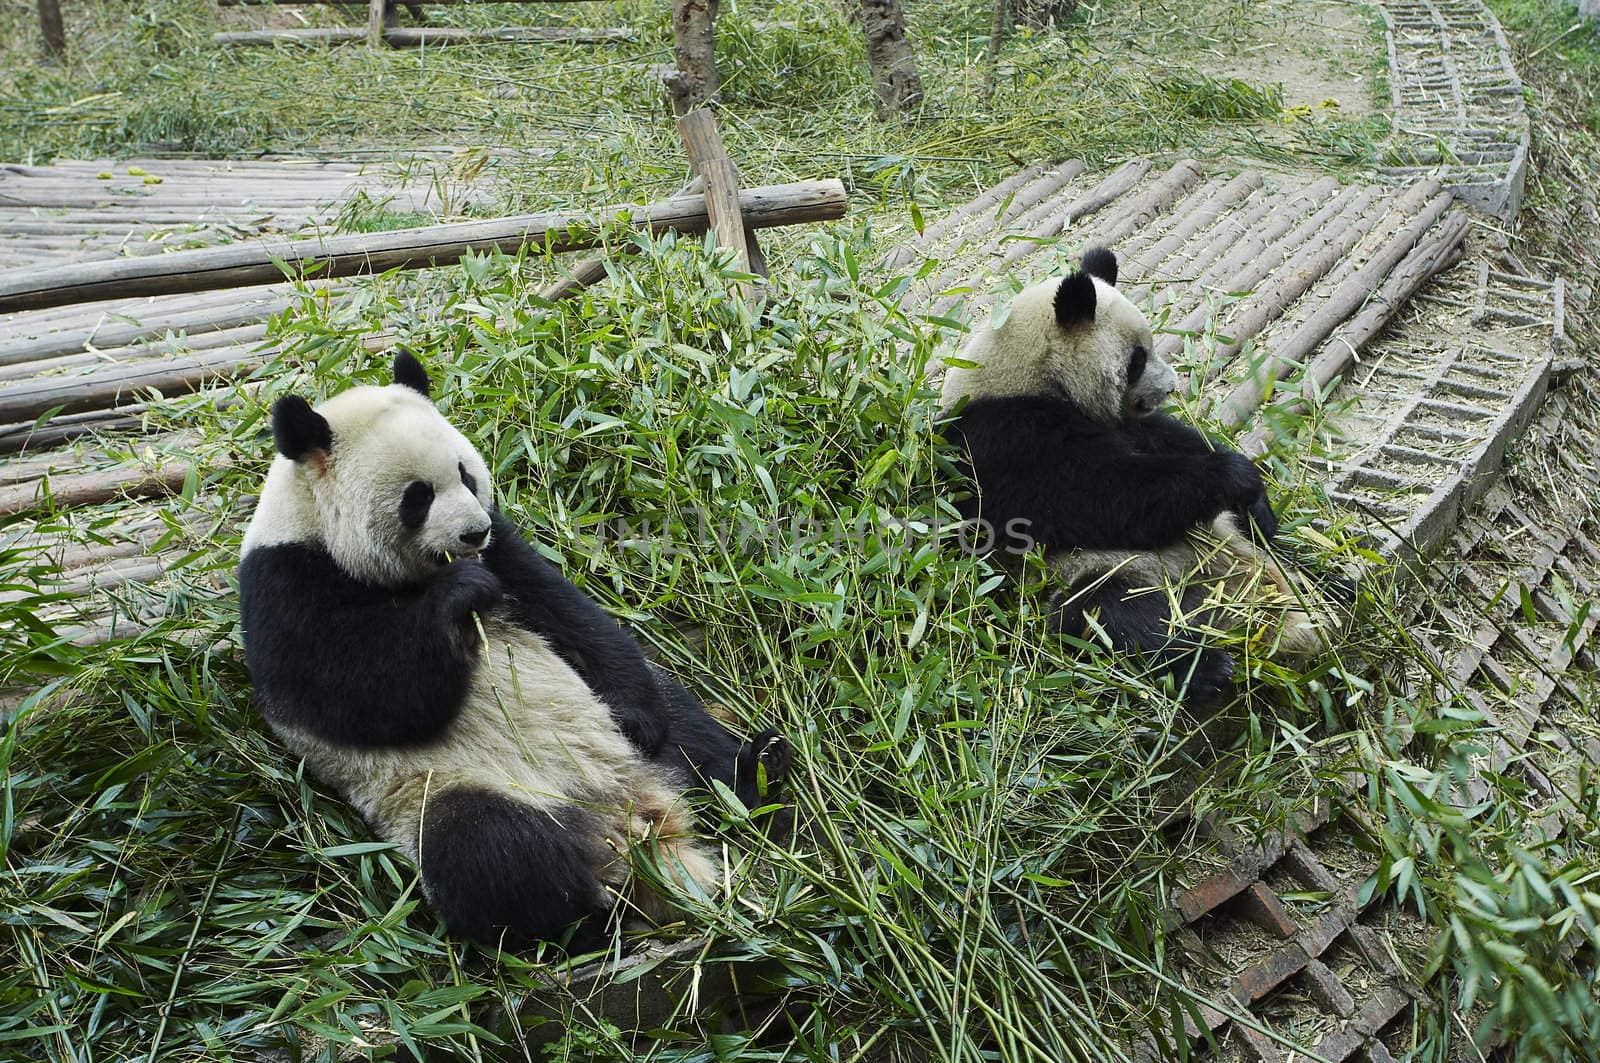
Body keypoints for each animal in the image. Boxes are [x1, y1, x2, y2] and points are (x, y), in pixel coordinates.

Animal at [236, 352, 787, 947]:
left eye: (464, 474)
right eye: (417, 497)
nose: (471, 533)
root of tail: (635, 819)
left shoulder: (507, 549)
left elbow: (569, 611)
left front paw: (639, 714)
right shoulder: (284, 589)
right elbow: (370, 694)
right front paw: (460, 596)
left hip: (623, 733)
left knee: (689, 735)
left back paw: (761, 769)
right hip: (445, 789)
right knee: (489, 853)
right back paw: (590, 907)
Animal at [934, 246, 1337, 704]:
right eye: (1138, 359)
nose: (1171, 386)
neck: (1028, 372)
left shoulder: (1129, 425)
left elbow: (1174, 438)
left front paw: (1255, 500)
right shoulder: (1006, 439)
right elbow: (1099, 496)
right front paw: (1234, 478)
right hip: (1115, 573)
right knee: (1110, 615)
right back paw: (1208, 666)